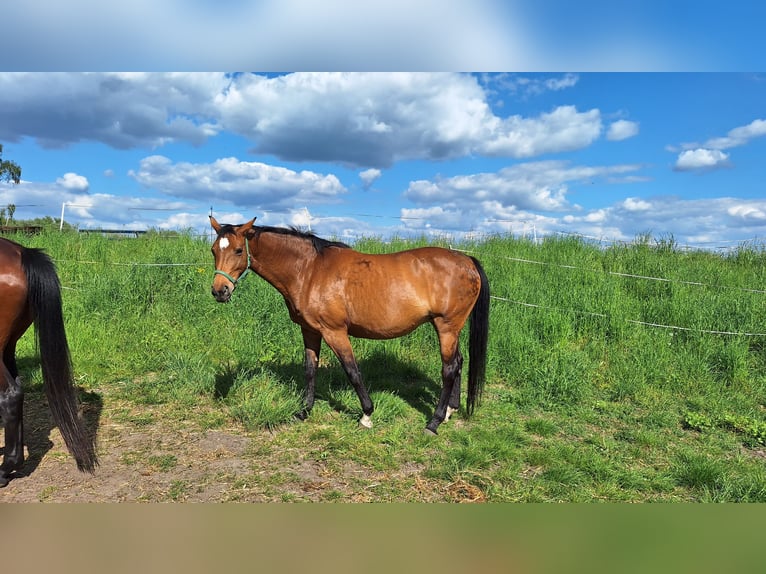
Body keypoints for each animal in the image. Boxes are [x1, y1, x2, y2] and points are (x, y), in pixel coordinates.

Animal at [208, 218, 492, 434]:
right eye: (213, 250)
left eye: (238, 250)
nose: (220, 291)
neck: (309, 271)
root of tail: (467, 260)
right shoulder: (310, 331)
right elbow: (310, 369)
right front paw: (304, 411)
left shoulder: (334, 332)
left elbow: (352, 370)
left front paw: (366, 415)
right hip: (450, 329)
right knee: (458, 362)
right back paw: (450, 411)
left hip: (446, 327)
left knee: (449, 369)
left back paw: (433, 422)